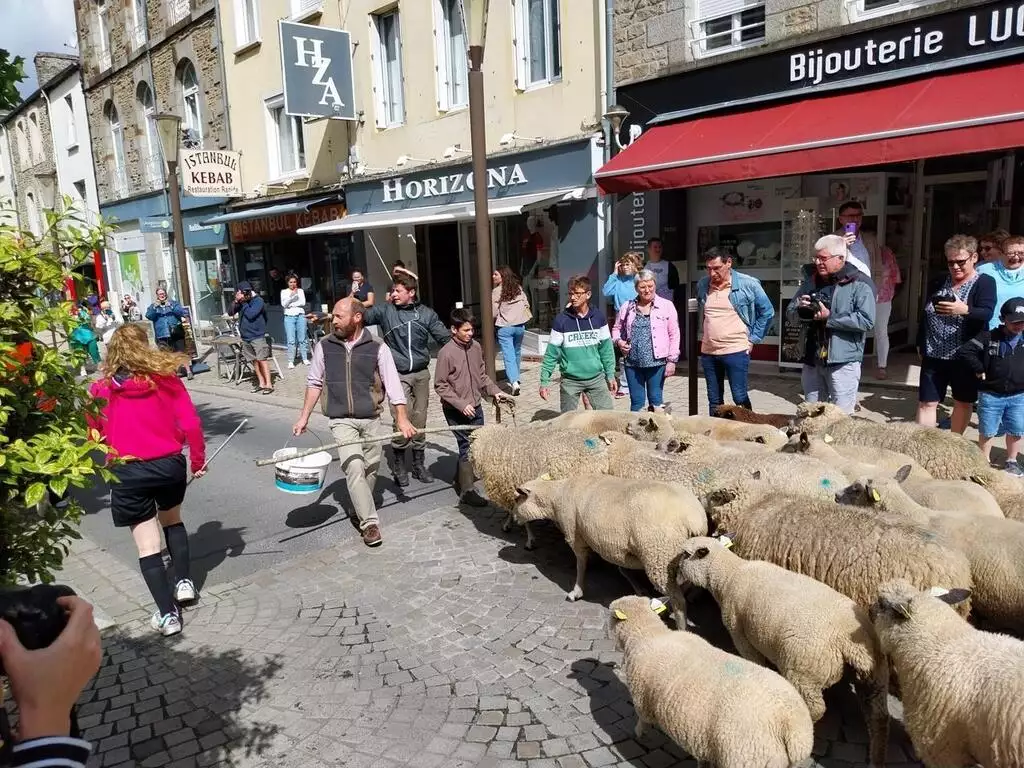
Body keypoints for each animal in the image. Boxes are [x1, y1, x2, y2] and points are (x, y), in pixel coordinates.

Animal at [512, 475, 704, 630]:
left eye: (516, 500)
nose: (513, 518)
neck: (556, 497)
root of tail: (694, 519)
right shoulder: (616, 549)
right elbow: (623, 570)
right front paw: (639, 590)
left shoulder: (576, 536)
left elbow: (581, 564)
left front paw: (576, 592)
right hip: (684, 557)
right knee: (687, 584)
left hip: (659, 556)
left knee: (679, 599)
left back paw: (681, 627)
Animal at [606, 593, 815, 768]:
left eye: (611, 617)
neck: (649, 634)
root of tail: (792, 727)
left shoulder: (641, 697)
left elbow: (642, 719)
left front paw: (639, 733)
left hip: (747, 758)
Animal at [679, 536, 888, 768]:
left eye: (684, 555)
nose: (676, 569)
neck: (730, 574)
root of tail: (849, 643)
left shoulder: (739, 634)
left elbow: (755, 660)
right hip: (876, 674)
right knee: (879, 718)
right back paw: (876, 758)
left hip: (804, 673)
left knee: (816, 709)